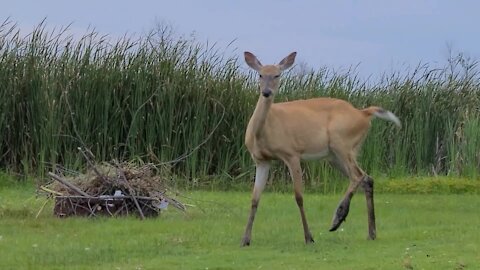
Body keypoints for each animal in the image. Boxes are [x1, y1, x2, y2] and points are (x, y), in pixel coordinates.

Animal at [240, 51, 402, 247]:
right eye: (260, 74)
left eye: (277, 75)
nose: (266, 92)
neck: (263, 132)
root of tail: (363, 113)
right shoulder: (261, 160)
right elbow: (254, 199)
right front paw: (245, 239)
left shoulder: (291, 153)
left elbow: (299, 196)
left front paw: (309, 237)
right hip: (335, 155)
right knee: (367, 178)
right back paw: (371, 233)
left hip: (342, 142)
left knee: (358, 176)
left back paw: (337, 218)